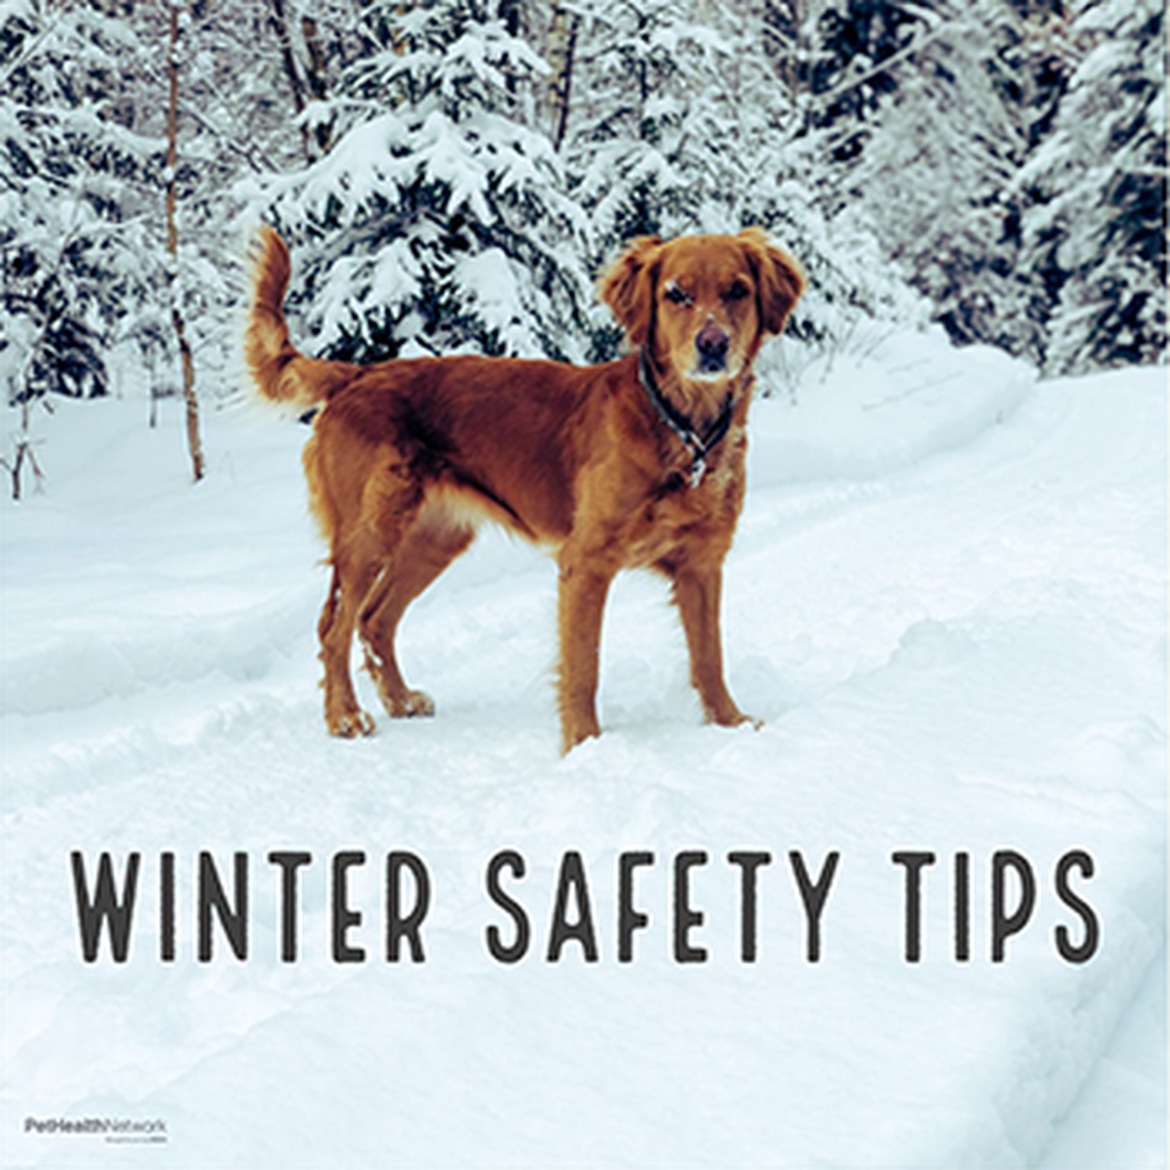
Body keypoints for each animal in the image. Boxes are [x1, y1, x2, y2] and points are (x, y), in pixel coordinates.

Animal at [246, 226, 804, 753]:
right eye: (676, 294)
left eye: (738, 290)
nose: (713, 345)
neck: (682, 426)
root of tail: (356, 374)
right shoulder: (586, 562)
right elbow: (584, 667)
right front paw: (584, 745)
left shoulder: (702, 564)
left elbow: (710, 656)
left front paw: (730, 723)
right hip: (370, 532)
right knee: (335, 626)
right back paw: (344, 717)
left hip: (435, 539)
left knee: (375, 618)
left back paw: (400, 701)